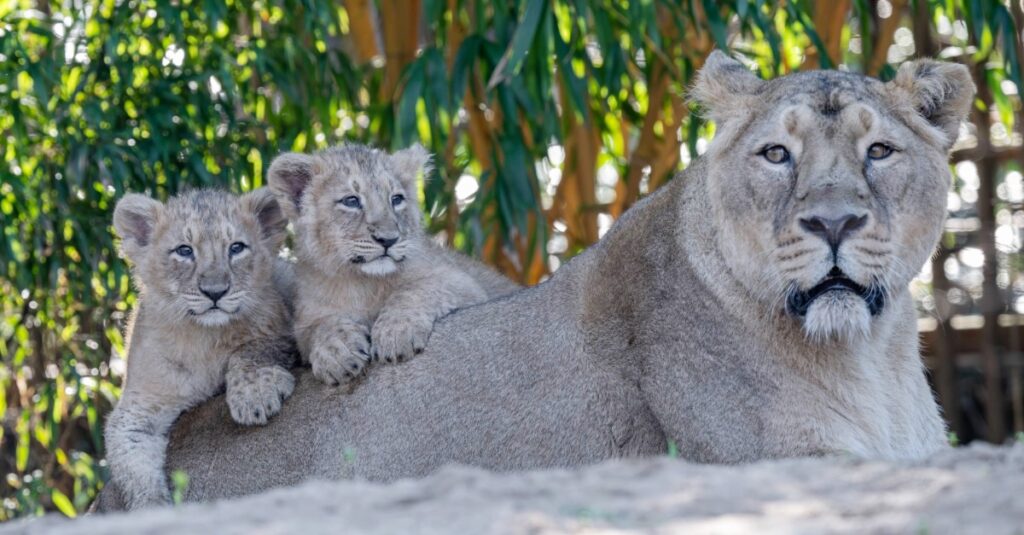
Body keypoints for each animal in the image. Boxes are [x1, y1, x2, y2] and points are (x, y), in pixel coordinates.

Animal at [103, 188, 297, 509]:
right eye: (184, 251)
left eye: (236, 248)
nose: (215, 292)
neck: (204, 337)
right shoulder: (140, 403)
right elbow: (131, 460)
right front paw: (152, 507)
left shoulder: (285, 329)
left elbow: (253, 348)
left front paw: (254, 395)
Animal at [266, 143, 518, 386]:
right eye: (351, 201)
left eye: (396, 199)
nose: (388, 240)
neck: (362, 282)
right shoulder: (306, 318)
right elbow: (321, 327)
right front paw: (337, 353)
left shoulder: (460, 280)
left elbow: (414, 290)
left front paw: (395, 333)